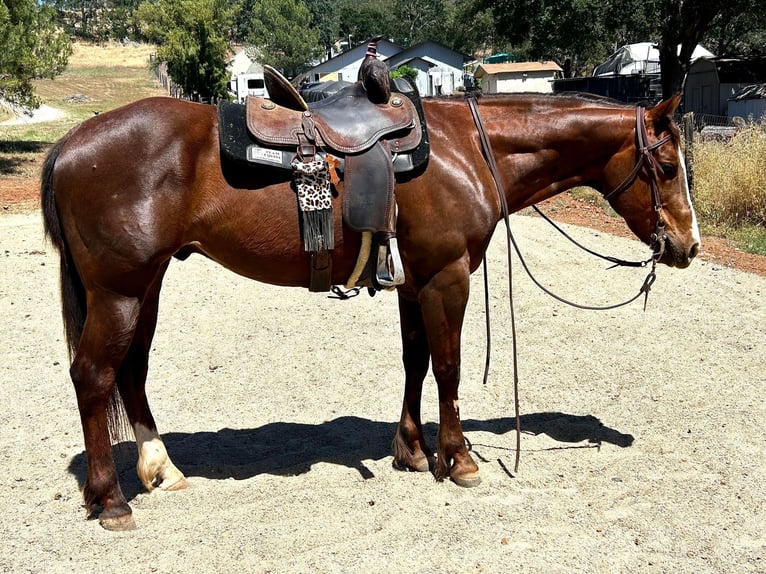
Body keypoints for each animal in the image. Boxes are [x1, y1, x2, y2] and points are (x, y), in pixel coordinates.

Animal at [41, 91, 700, 530]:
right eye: (667, 167)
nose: (688, 246)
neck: (467, 150)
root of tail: (73, 143)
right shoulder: (447, 278)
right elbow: (449, 368)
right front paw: (459, 459)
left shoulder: (415, 283)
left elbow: (416, 363)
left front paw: (411, 450)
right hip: (120, 291)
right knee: (94, 377)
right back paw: (111, 499)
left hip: (145, 287)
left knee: (131, 372)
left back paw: (161, 469)